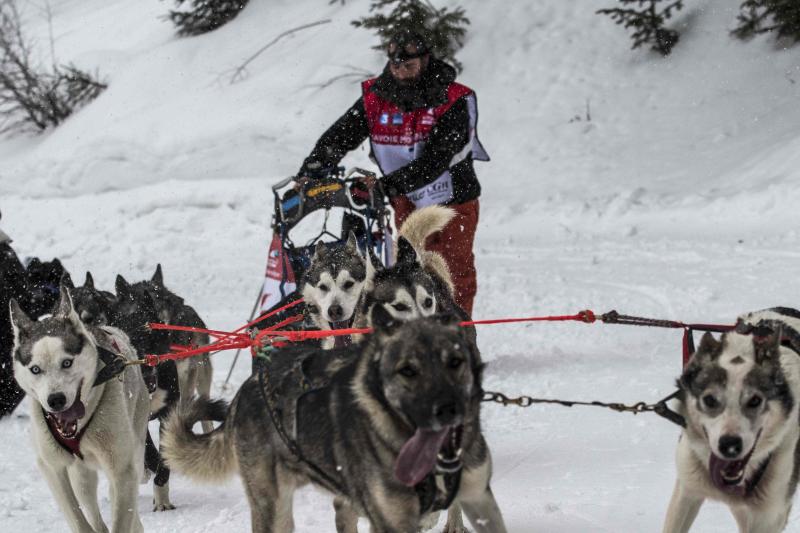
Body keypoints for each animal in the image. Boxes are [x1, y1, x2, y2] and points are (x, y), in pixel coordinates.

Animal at [10, 282, 148, 528]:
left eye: (67, 362)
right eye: (35, 369)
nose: (56, 400)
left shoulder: (122, 470)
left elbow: (122, 519)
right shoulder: (52, 467)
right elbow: (77, 519)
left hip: (134, 450)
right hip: (81, 476)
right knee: (92, 508)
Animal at [162, 308, 506, 532]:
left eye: (455, 362)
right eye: (407, 370)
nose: (447, 408)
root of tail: (246, 389)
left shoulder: (480, 498)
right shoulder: (392, 520)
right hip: (273, 508)